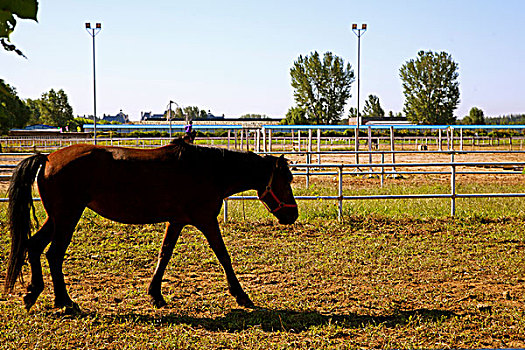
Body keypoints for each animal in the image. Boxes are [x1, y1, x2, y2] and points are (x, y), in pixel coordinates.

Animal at [4, 138, 296, 310]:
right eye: (286, 180)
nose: (292, 215)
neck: (207, 170)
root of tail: (47, 158)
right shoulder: (206, 220)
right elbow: (224, 256)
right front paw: (241, 295)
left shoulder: (177, 221)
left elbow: (164, 254)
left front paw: (155, 294)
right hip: (67, 216)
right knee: (54, 254)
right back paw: (64, 301)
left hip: (57, 217)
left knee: (34, 246)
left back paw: (33, 293)